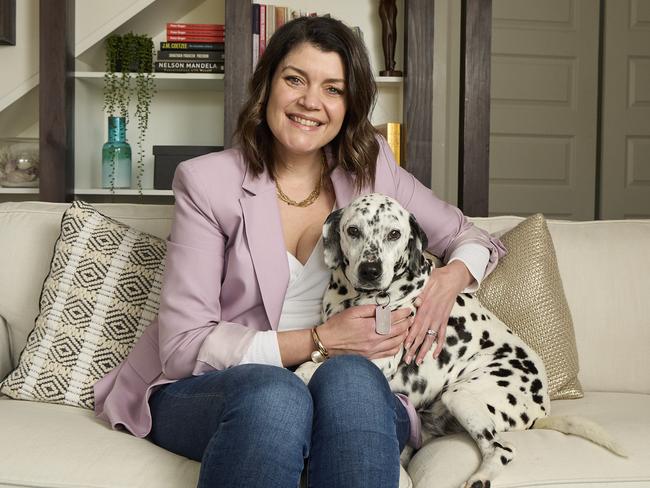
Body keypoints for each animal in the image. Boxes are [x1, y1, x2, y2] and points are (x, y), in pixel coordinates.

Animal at [296, 193, 624, 488]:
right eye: (353, 230)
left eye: (394, 233)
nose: (370, 270)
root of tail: (541, 409)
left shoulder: (379, 359)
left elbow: (311, 368)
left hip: (461, 395)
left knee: (502, 449)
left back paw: (480, 478)